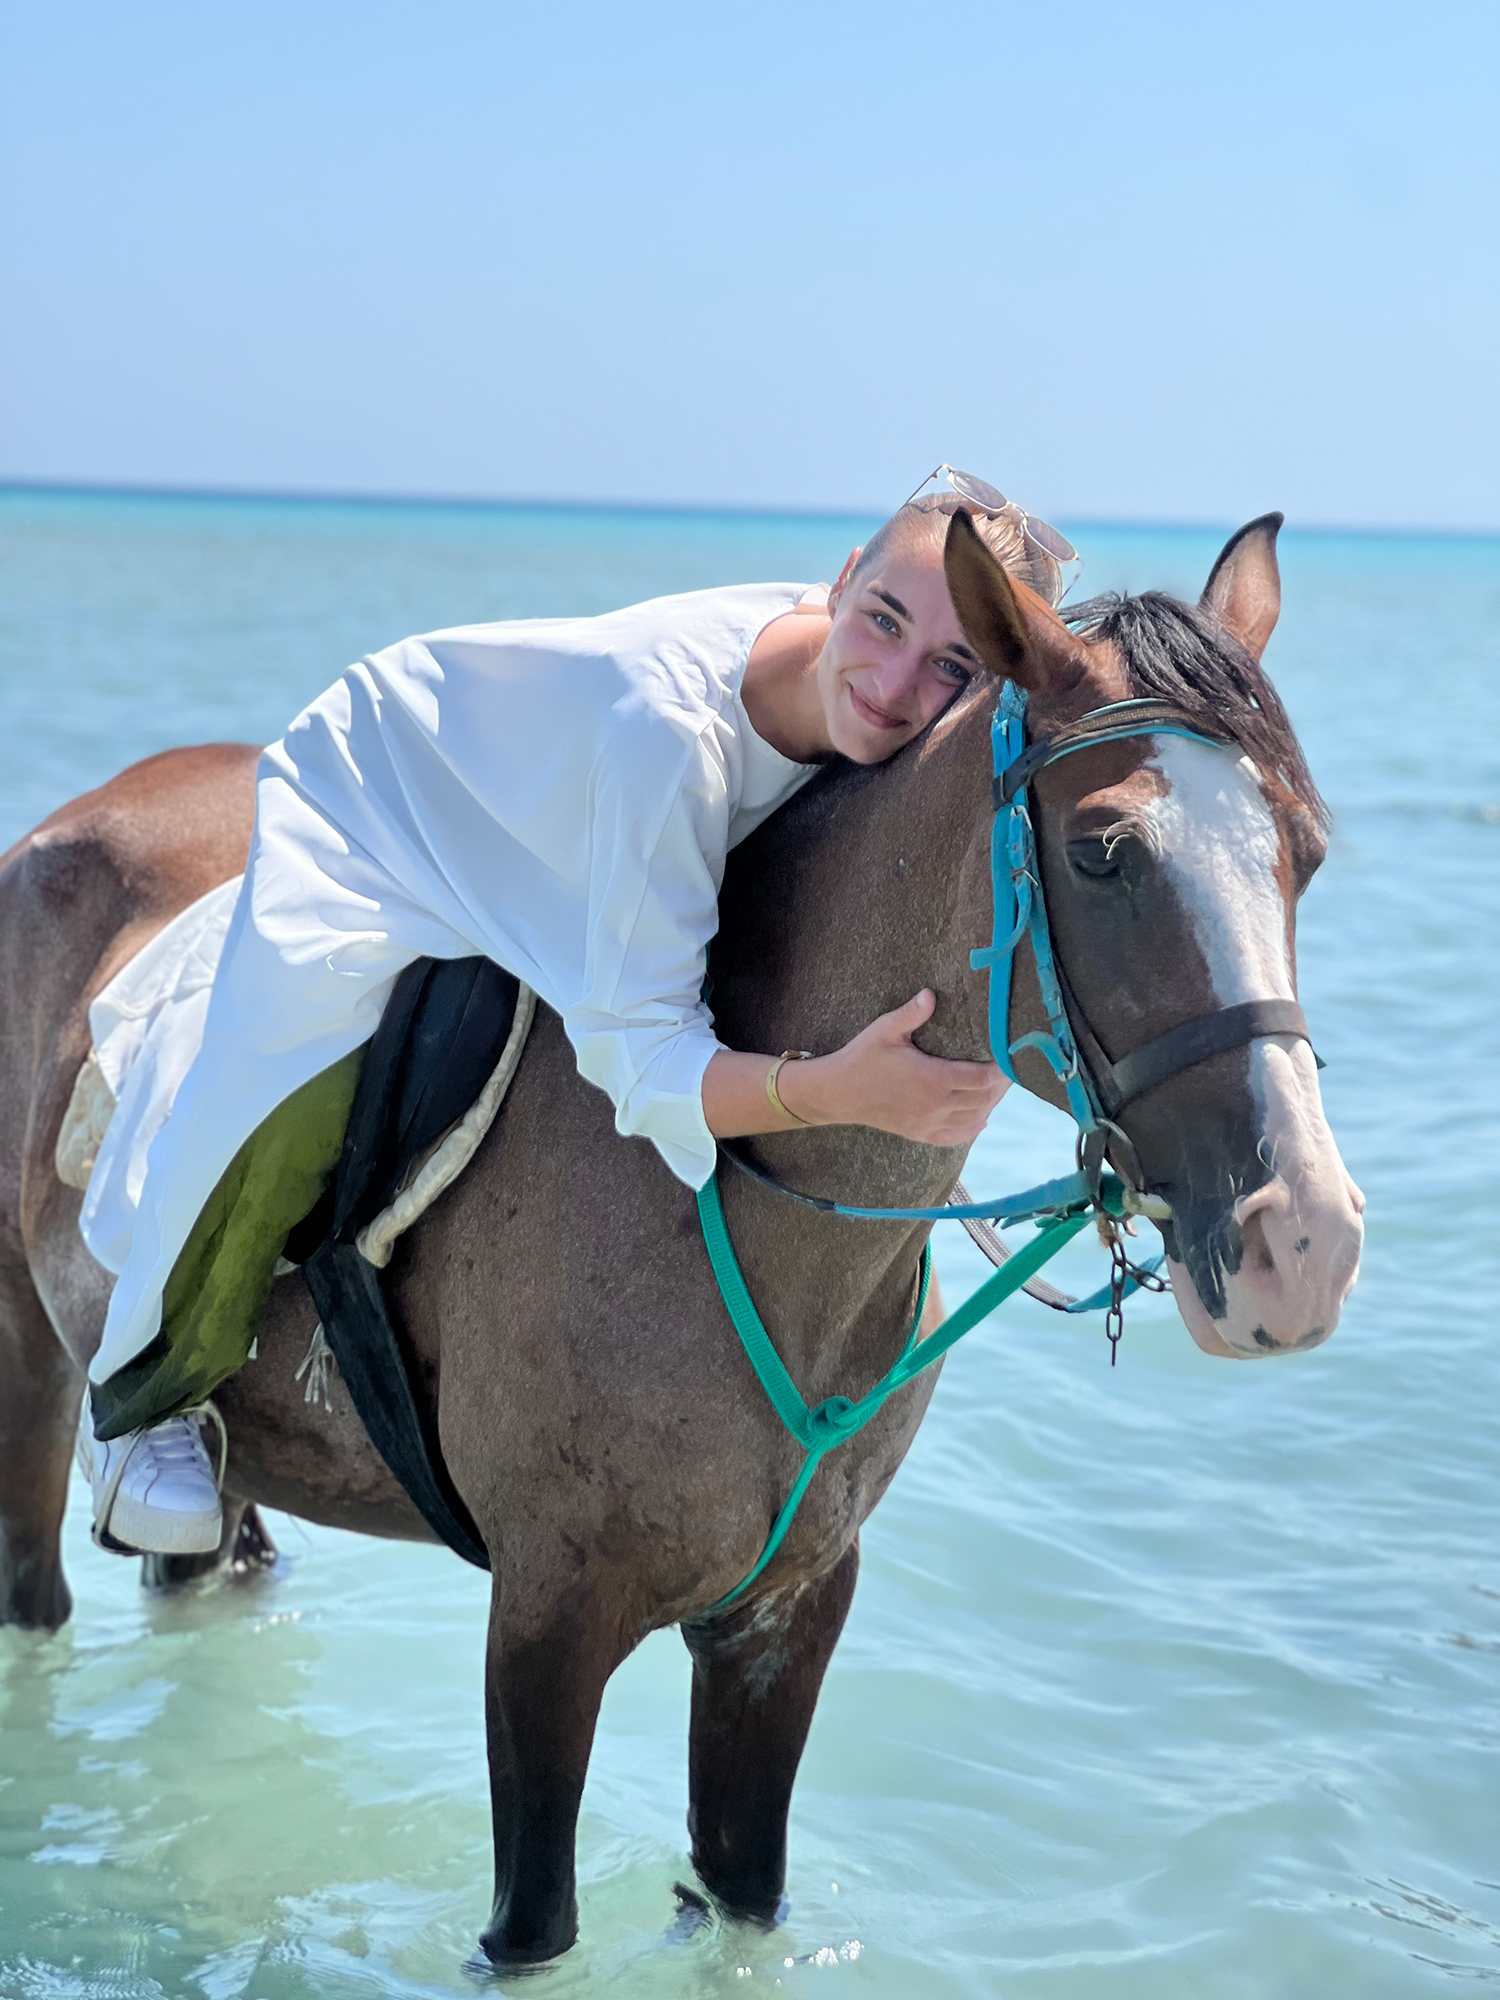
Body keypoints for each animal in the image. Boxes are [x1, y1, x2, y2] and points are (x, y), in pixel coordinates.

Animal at [0, 513, 1363, 1965]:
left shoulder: (787, 1617)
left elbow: (741, 1894)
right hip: (30, 1345)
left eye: (1305, 852)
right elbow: (535, 1927)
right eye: (1107, 853)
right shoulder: (545, 1619)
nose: (1304, 1241)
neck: (746, 1217)